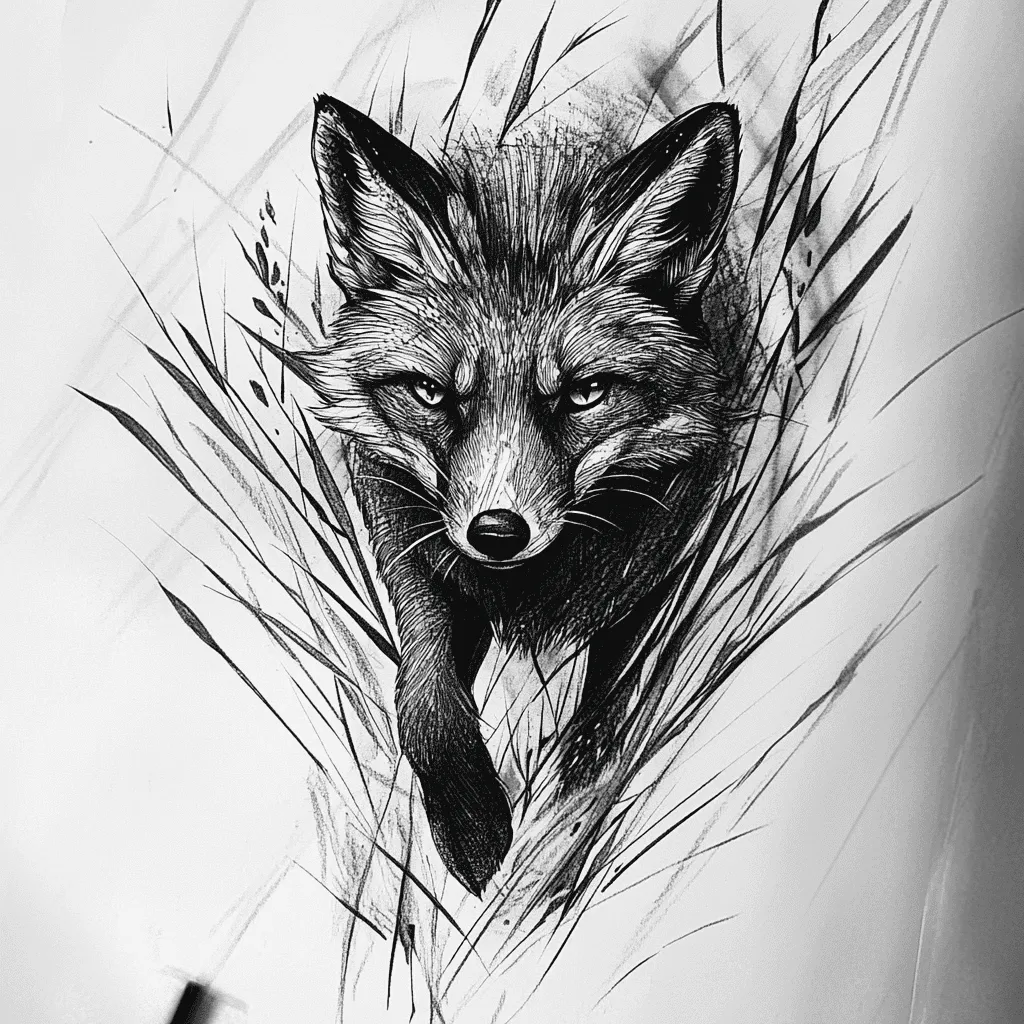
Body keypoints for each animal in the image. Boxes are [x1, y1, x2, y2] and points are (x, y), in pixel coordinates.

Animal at [290, 93, 742, 897]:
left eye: (585, 393)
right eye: (432, 393)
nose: (497, 533)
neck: (527, 589)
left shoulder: (668, 555)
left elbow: (615, 685)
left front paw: (578, 784)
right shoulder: (412, 546)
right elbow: (426, 704)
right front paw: (473, 829)